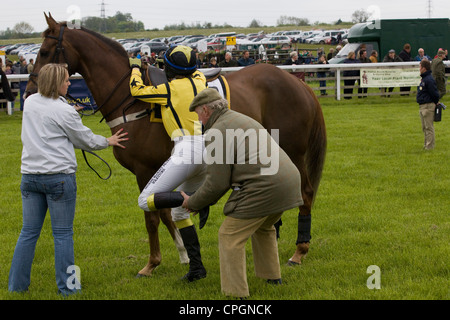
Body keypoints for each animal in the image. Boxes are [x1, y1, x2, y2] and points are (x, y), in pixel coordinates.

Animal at [26, 13, 326, 278]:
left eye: (45, 51)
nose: (30, 91)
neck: (132, 100)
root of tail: (297, 83)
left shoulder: (144, 170)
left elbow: (152, 216)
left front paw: (151, 264)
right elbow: (166, 212)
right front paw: (183, 254)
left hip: (294, 152)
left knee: (305, 192)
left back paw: (299, 251)